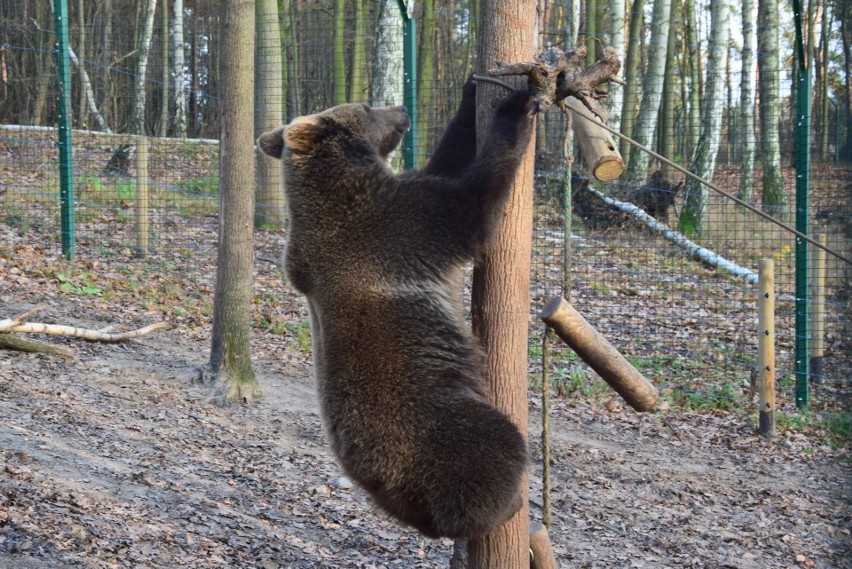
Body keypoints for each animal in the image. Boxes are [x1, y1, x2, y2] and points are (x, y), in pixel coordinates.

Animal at [258, 80, 532, 536]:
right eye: (368, 106)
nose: (402, 108)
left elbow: (448, 160)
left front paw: (471, 93)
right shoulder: (395, 228)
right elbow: (471, 200)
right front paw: (517, 105)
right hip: (442, 430)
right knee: (497, 447)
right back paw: (507, 505)